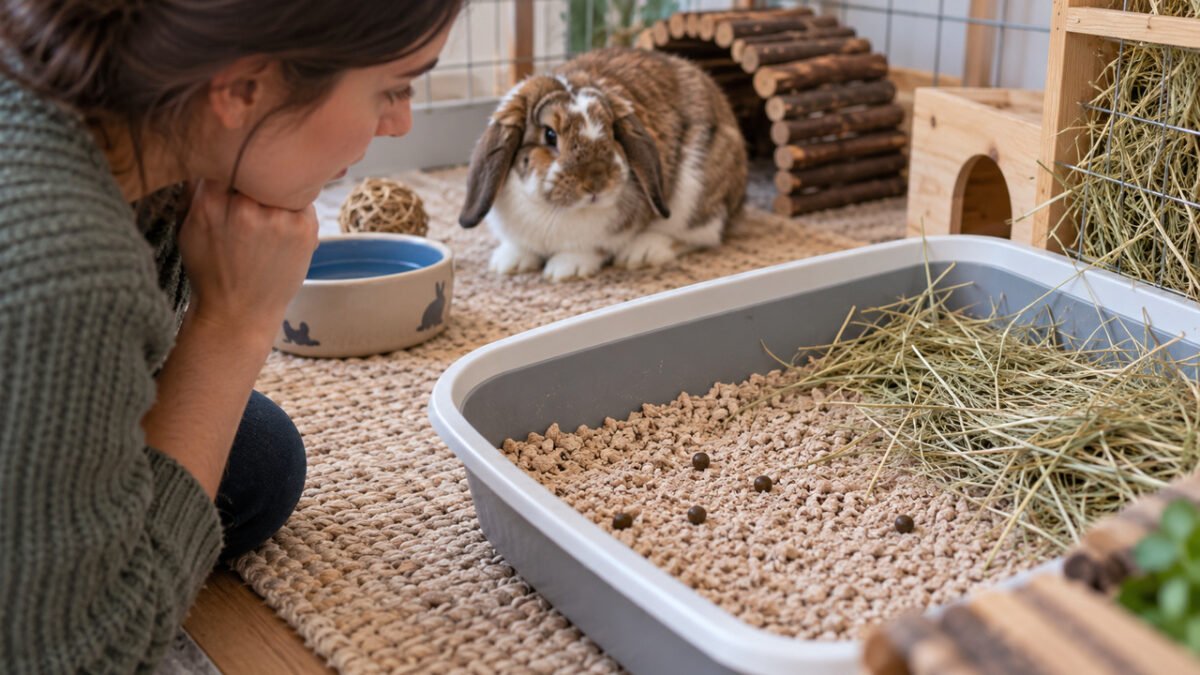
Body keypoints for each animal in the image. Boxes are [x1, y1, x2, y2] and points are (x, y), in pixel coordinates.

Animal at [458, 46, 748, 282]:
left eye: (611, 131)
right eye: (550, 135)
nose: (596, 182)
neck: (553, 210)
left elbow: (589, 249)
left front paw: (564, 270)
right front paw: (508, 264)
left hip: (695, 194)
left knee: (701, 235)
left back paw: (641, 253)